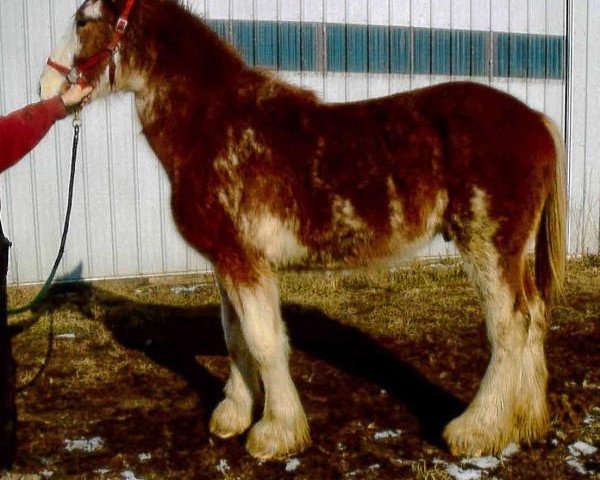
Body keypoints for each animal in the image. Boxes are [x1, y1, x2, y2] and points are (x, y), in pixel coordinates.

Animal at [39, 0, 564, 462]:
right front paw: (233, 416)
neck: (216, 127)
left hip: (489, 247)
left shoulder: (245, 262)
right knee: (535, 314)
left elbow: (264, 341)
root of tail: (537, 121)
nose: (46, 86)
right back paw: (527, 421)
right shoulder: (225, 263)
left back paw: (477, 430)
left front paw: (274, 435)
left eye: (83, 21)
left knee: (510, 326)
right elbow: (235, 337)